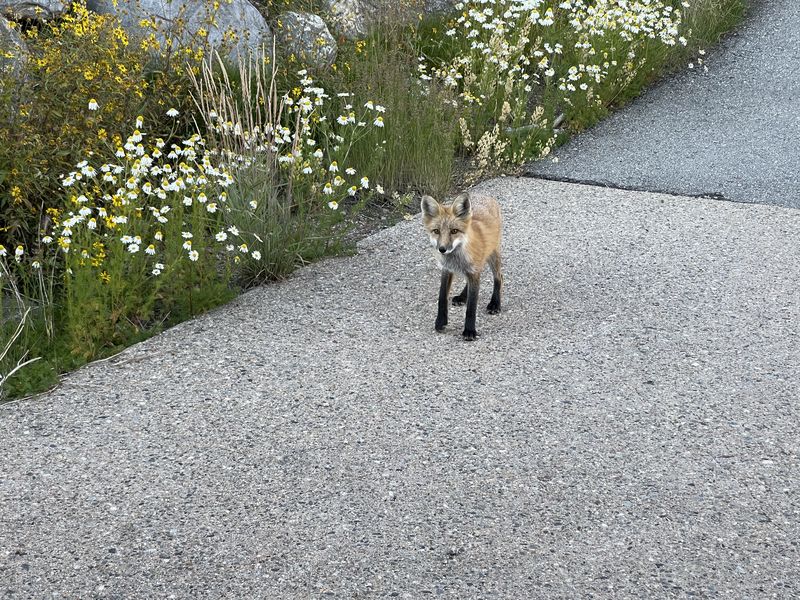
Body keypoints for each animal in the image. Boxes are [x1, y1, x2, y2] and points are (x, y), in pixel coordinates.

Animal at [420, 191, 502, 341]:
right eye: (436, 231)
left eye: (454, 231)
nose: (442, 249)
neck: (456, 259)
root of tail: (484, 195)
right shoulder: (447, 270)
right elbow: (442, 298)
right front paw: (440, 321)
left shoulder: (473, 271)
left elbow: (471, 307)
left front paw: (469, 331)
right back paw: (462, 296)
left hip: (493, 254)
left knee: (499, 277)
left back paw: (495, 303)